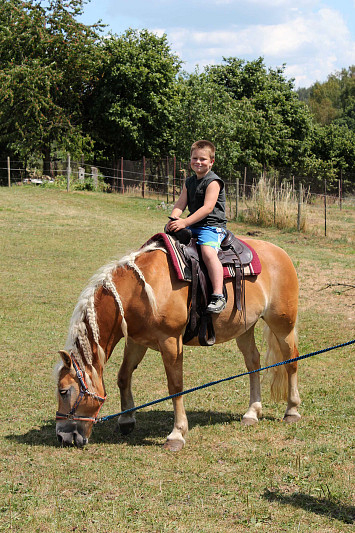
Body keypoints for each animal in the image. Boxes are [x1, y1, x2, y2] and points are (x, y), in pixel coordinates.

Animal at [55, 237, 300, 448]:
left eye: (63, 391)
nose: (62, 436)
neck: (139, 291)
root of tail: (281, 254)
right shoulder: (136, 341)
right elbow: (123, 376)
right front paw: (126, 420)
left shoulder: (170, 341)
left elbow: (175, 386)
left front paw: (177, 434)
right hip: (245, 327)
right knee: (253, 363)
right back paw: (252, 412)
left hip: (282, 324)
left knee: (291, 361)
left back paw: (292, 411)